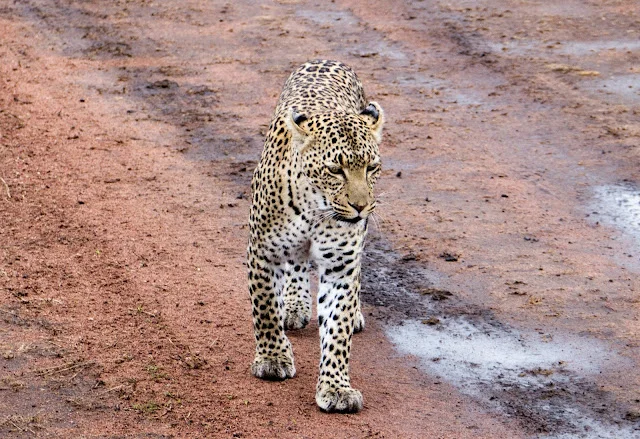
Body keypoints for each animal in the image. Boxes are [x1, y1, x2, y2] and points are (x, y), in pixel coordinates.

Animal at [248, 60, 382, 414]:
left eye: (372, 168)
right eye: (335, 170)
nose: (361, 206)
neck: (315, 209)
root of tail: (327, 59)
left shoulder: (341, 266)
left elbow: (337, 328)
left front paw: (336, 388)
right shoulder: (262, 251)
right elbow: (265, 308)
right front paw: (272, 359)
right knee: (295, 264)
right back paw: (294, 306)